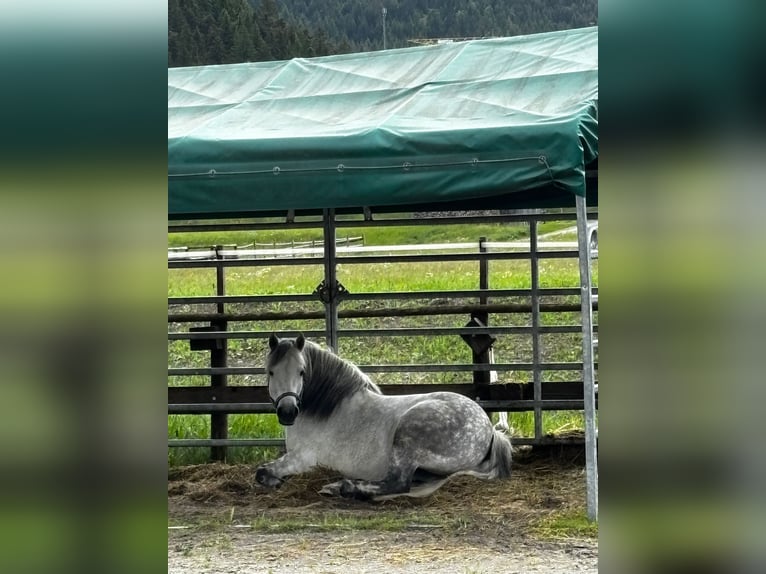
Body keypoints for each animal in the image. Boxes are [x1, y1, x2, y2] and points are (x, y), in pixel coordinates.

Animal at [255, 334, 513, 500]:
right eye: (271, 372)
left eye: (302, 372)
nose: (287, 412)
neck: (324, 410)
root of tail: (489, 431)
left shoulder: (302, 459)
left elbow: (261, 472)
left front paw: (275, 481)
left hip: (408, 435)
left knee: (398, 483)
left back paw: (345, 488)